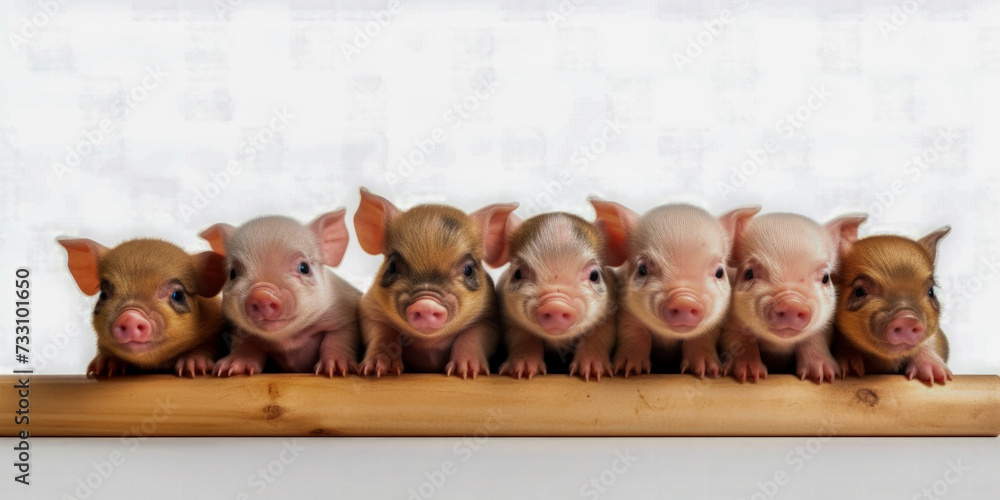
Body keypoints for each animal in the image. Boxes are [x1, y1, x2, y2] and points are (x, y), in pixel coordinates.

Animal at [199, 209, 362, 377]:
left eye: (304, 268)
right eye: (233, 273)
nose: (262, 294)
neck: (286, 340)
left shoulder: (344, 316)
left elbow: (337, 339)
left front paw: (336, 370)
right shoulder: (240, 332)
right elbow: (246, 345)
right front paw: (227, 369)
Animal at [353, 188, 517, 378]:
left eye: (468, 269)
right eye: (392, 266)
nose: (426, 303)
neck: (428, 343)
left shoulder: (488, 316)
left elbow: (472, 336)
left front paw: (467, 372)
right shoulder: (368, 309)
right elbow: (382, 334)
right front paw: (376, 370)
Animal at [489, 211, 620, 381]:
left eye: (594, 275)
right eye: (517, 273)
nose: (556, 304)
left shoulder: (608, 315)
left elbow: (599, 336)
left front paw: (593, 373)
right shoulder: (508, 317)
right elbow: (521, 336)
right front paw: (522, 372)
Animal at [592, 200, 760, 378]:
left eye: (719, 272)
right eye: (642, 269)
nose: (685, 300)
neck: (668, 338)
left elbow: (700, 338)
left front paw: (707, 371)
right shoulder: (626, 312)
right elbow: (636, 334)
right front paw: (628, 370)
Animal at [720, 212, 868, 383]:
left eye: (825, 278)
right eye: (749, 273)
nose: (792, 303)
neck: (778, 346)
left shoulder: (825, 324)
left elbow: (814, 339)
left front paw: (825, 376)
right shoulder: (730, 323)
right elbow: (739, 339)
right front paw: (751, 375)